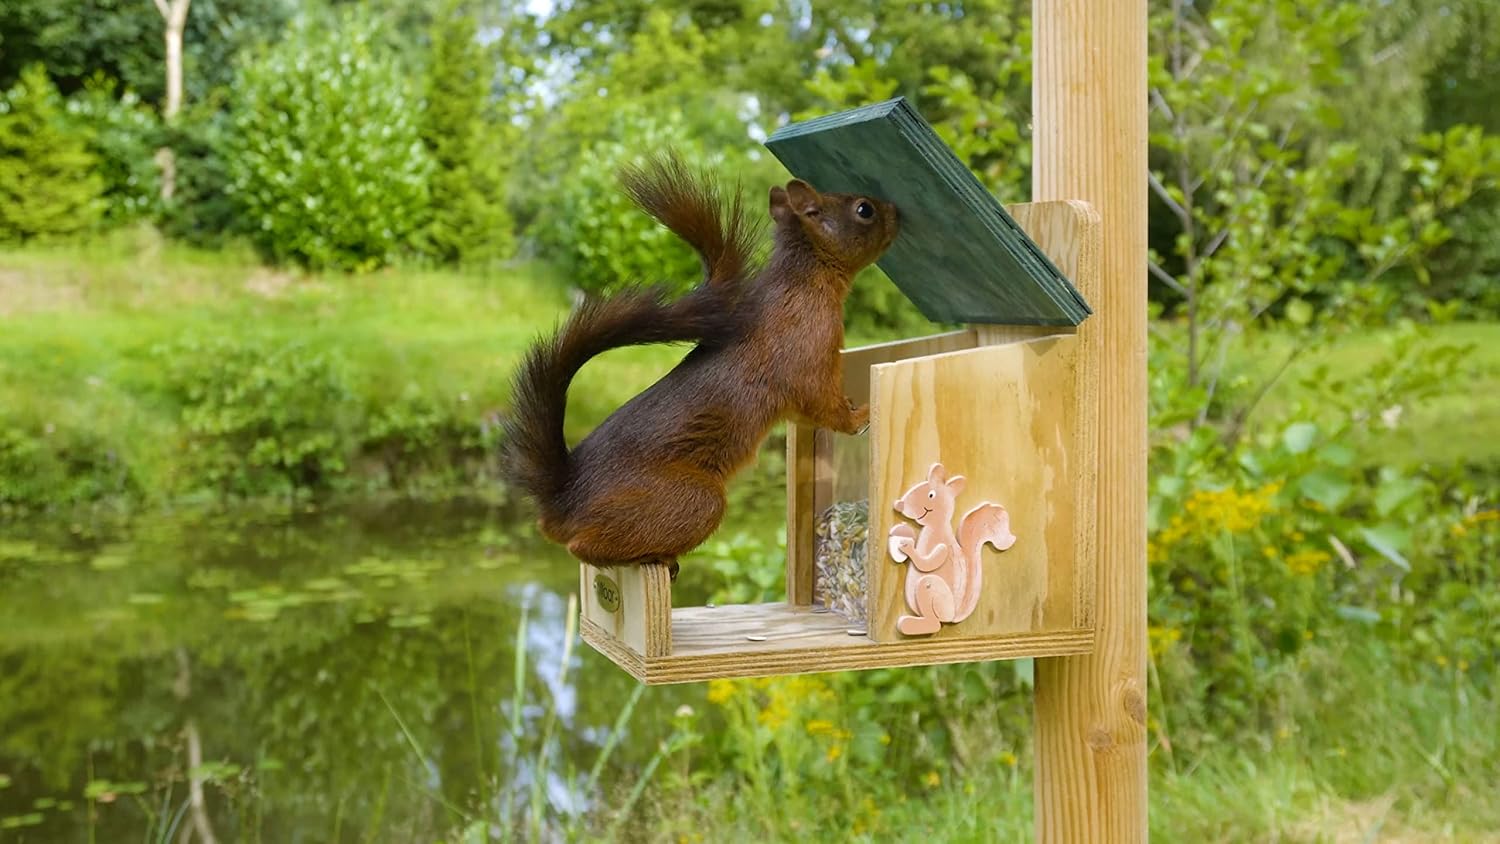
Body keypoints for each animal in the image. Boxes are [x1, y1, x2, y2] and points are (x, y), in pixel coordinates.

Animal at [503, 154, 899, 576]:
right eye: (864, 209)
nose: (896, 212)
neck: (806, 280)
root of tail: (563, 500)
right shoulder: (806, 356)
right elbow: (822, 403)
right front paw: (860, 417)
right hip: (694, 501)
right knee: (584, 547)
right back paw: (652, 556)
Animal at [888, 463, 1017, 636]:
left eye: (931, 495)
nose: (899, 505)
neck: (934, 528)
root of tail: (954, 616)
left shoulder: (942, 548)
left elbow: (927, 563)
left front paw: (908, 548)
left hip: (930, 588)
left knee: (935, 624)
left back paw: (912, 624)